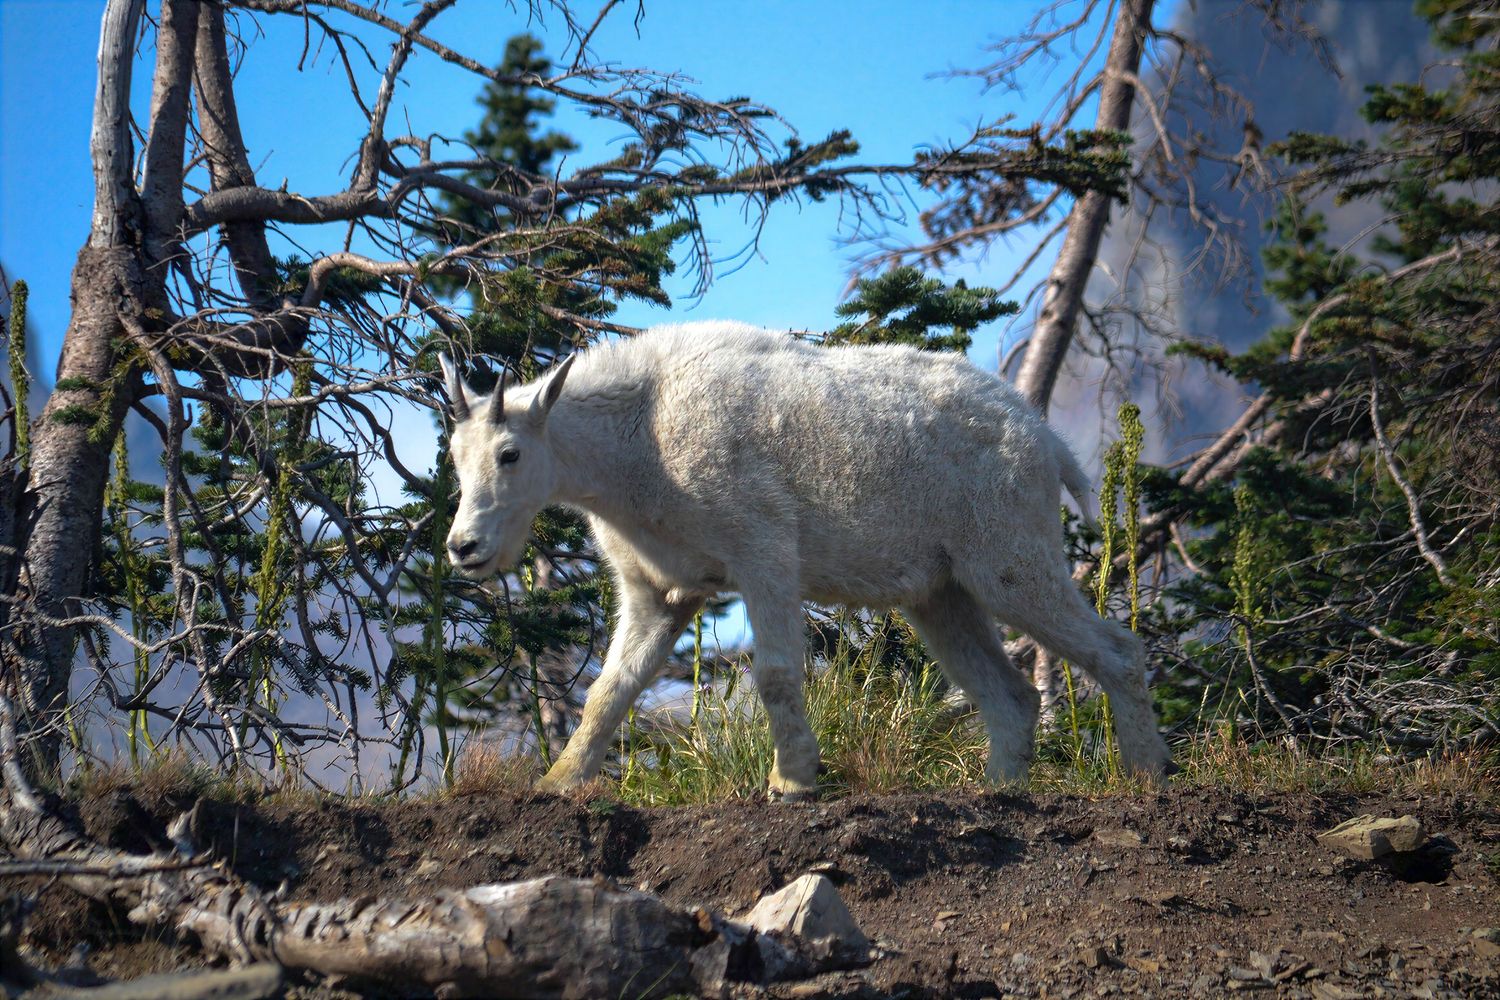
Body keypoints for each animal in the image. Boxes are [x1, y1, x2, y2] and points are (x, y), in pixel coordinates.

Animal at [439, 322, 1171, 798]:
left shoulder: (762, 550)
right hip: (942, 593)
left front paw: (791, 779)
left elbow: (775, 674)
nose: (463, 547)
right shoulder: (661, 591)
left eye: (510, 453)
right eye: (453, 454)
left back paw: (1147, 771)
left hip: (1008, 558)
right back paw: (999, 789)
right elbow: (610, 690)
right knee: (1011, 693)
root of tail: (1046, 439)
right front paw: (558, 781)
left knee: (1116, 649)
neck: (636, 440)